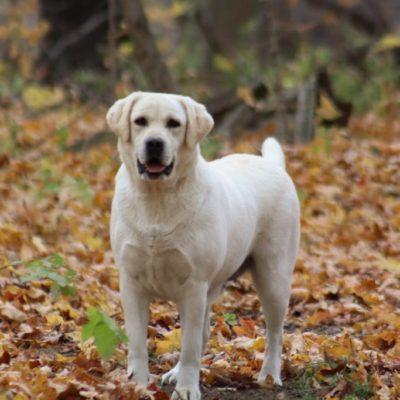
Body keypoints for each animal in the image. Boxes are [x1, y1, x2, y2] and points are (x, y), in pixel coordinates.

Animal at [106, 92, 300, 398]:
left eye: (173, 124)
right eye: (140, 121)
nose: (154, 143)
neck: (157, 199)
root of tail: (273, 164)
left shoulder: (193, 285)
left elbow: (189, 346)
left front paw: (187, 388)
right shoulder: (131, 282)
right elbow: (137, 341)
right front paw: (137, 385)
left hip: (273, 278)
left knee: (275, 332)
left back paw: (269, 375)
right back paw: (173, 373)